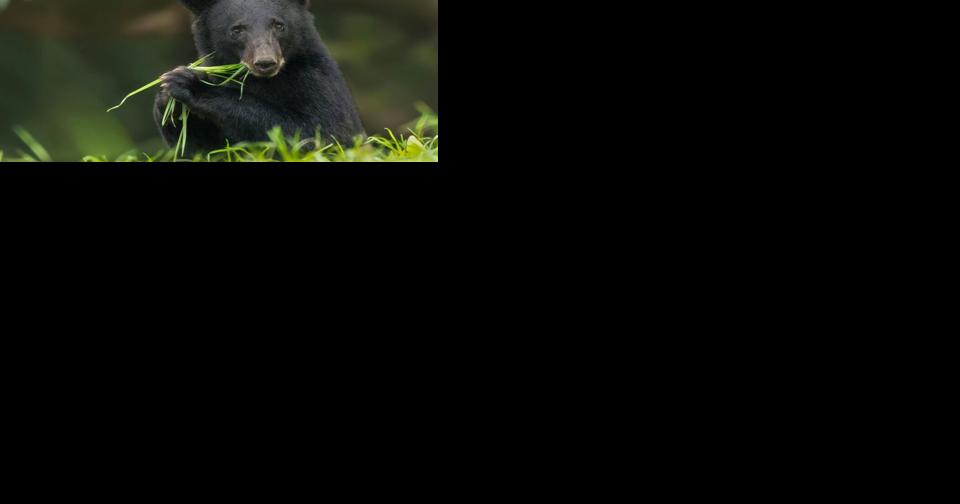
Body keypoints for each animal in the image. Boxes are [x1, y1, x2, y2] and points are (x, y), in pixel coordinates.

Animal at [154, 0, 365, 155]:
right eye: (237, 29)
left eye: (279, 25)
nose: (265, 62)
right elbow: (203, 150)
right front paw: (169, 101)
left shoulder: (315, 80)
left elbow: (323, 134)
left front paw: (191, 83)